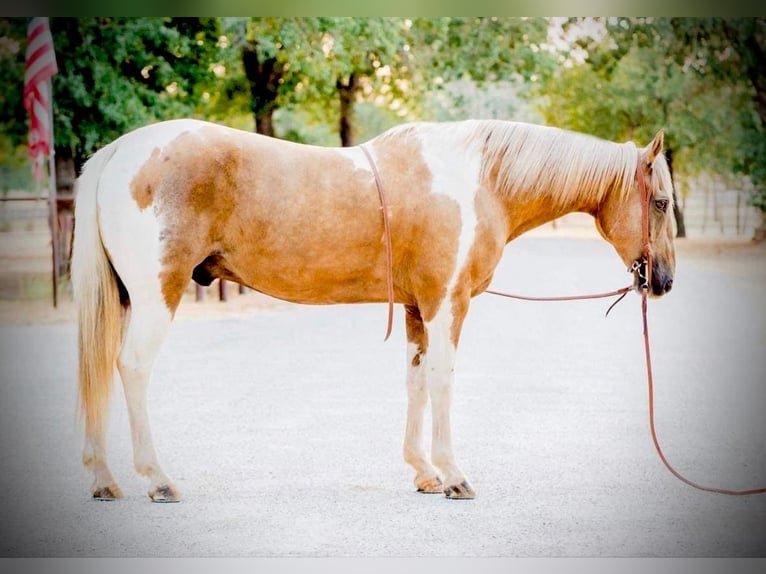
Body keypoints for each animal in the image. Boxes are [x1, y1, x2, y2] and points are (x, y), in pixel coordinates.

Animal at [69, 118, 676, 504]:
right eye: (662, 201)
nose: (665, 280)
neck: (478, 180)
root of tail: (120, 153)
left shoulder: (416, 309)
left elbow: (416, 381)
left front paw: (424, 473)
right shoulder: (446, 303)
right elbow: (443, 379)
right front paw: (453, 475)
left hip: (125, 298)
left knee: (100, 368)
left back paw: (103, 479)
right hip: (157, 294)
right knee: (131, 368)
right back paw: (156, 479)